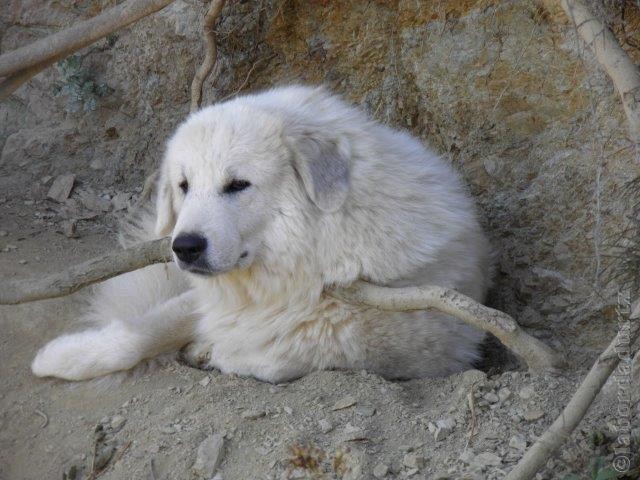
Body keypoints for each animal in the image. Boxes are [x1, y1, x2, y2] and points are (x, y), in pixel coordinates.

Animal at [30, 83, 492, 382]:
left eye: (237, 185)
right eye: (184, 185)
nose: (184, 247)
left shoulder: (417, 336)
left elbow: (276, 354)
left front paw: (210, 350)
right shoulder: (211, 296)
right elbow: (141, 332)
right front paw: (60, 358)